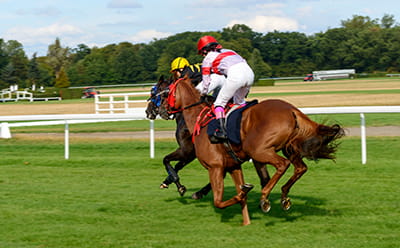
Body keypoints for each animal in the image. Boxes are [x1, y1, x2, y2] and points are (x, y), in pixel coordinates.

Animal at [162, 75, 344, 225]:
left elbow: (218, 201)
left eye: (164, 92)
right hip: (288, 148)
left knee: (282, 165)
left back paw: (265, 196)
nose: (161, 110)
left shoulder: (214, 166)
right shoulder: (233, 166)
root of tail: (292, 110)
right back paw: (284, 195)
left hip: (258, 150)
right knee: (300, 168)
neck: (200, 121)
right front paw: (246, 215)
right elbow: (239, 194)